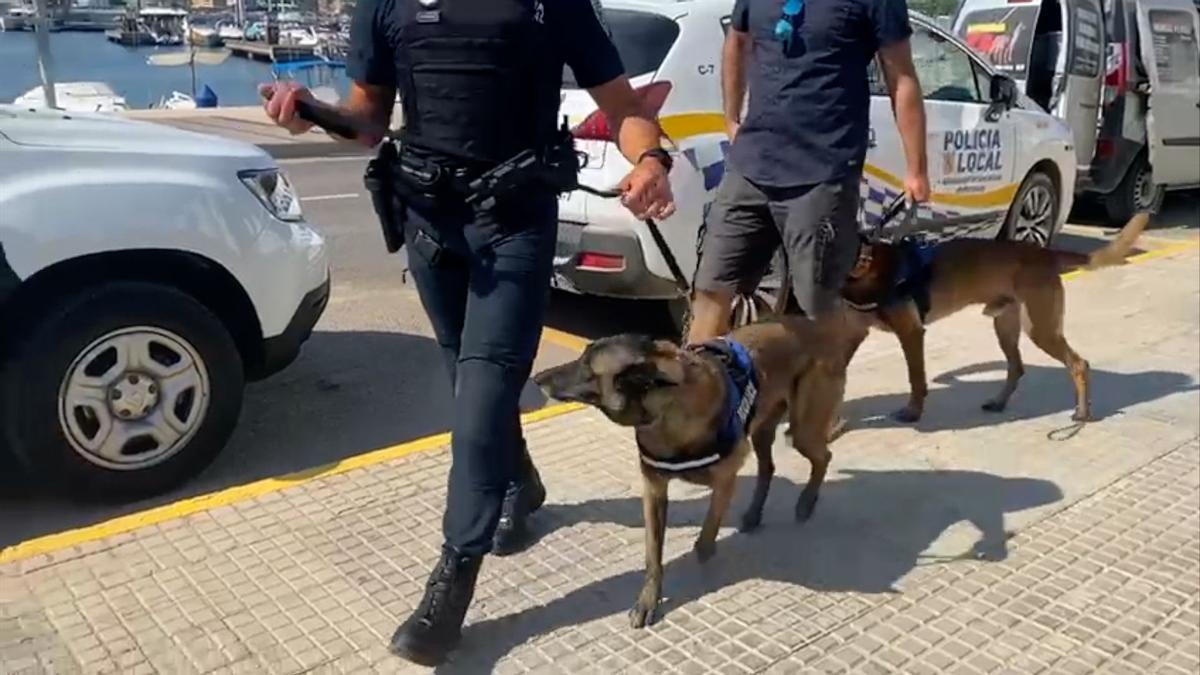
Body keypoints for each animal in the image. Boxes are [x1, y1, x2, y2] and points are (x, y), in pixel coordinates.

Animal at [535, 312, 864, 629]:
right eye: (581, 357)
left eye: (587, 370)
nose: (538, 378)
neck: (666, 411)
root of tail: (814, 327)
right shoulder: (654, 491)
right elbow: (653, 556)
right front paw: (648, 600)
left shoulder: (725, 483)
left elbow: (705, 540)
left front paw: (704, 570)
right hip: (763, 430)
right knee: (768, 468)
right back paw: (755, 513)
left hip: (802, 430)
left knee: (823, 457)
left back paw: (806, 502)